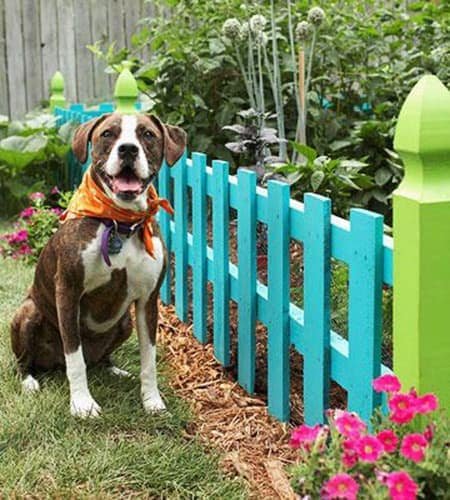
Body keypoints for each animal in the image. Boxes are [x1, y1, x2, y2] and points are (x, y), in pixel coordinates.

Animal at [10, 113, 186, 418]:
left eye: (147, 134)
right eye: (107, 134)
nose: (128, 149)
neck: (121, 223)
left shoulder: (147, 301)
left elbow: (149, 359)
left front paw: (152, 402)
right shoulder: (68, 293)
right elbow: (74, 358)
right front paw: (82, 404)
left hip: (125, 323)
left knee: (97, 359)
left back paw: (114, 370)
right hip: (27, 312)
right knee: (32, 361)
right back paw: (29, 381)